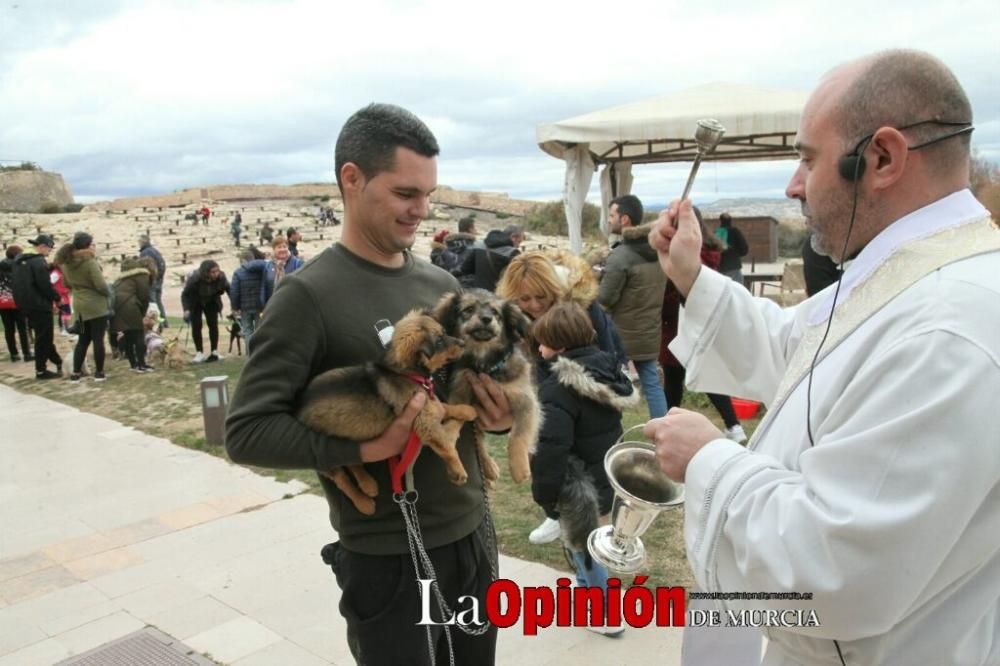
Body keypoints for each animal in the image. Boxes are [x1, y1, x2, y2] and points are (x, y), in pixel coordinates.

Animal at [296, 308, 480, 512]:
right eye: (439, 341)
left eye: (445, 333)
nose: (463, 343)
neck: (404, 372)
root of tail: (298, 405)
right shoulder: (425, 422)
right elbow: (447, 447)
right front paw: (459, 469)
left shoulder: (429, 406)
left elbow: (446, 406)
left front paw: (467, 410)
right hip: (325, 457)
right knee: (342, 479)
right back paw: (364, 503)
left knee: (352, 462)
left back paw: (368, 484)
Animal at [432, 286, 540, 482]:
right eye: (468, 310)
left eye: (496, 312)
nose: (486, 318)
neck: (484, 365)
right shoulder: (461, 393)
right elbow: (455, 419)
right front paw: (448, 439)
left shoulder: (526, 401)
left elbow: (518, 436)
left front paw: (519, 468)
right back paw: (489, 467)